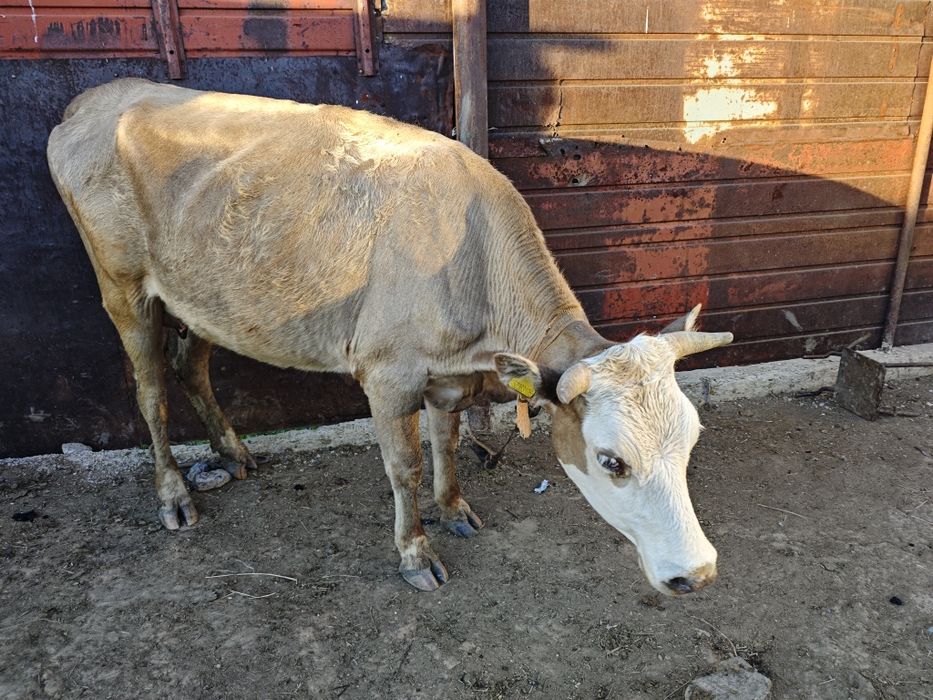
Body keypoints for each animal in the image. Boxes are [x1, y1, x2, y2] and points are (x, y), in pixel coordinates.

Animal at [47, 79, 733, 594]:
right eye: (612, 460)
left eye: (693, 438)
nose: (697, 574)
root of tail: (95, 99)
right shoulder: (386, 373)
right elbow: (404, 465)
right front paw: (414, 553)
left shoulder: (450, 374)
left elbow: (446, 445)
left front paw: (453, 510)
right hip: (123, 285)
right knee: (151, 392)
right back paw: (173, 495)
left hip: (206, 295)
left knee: (191, 366)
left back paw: (235, 454)